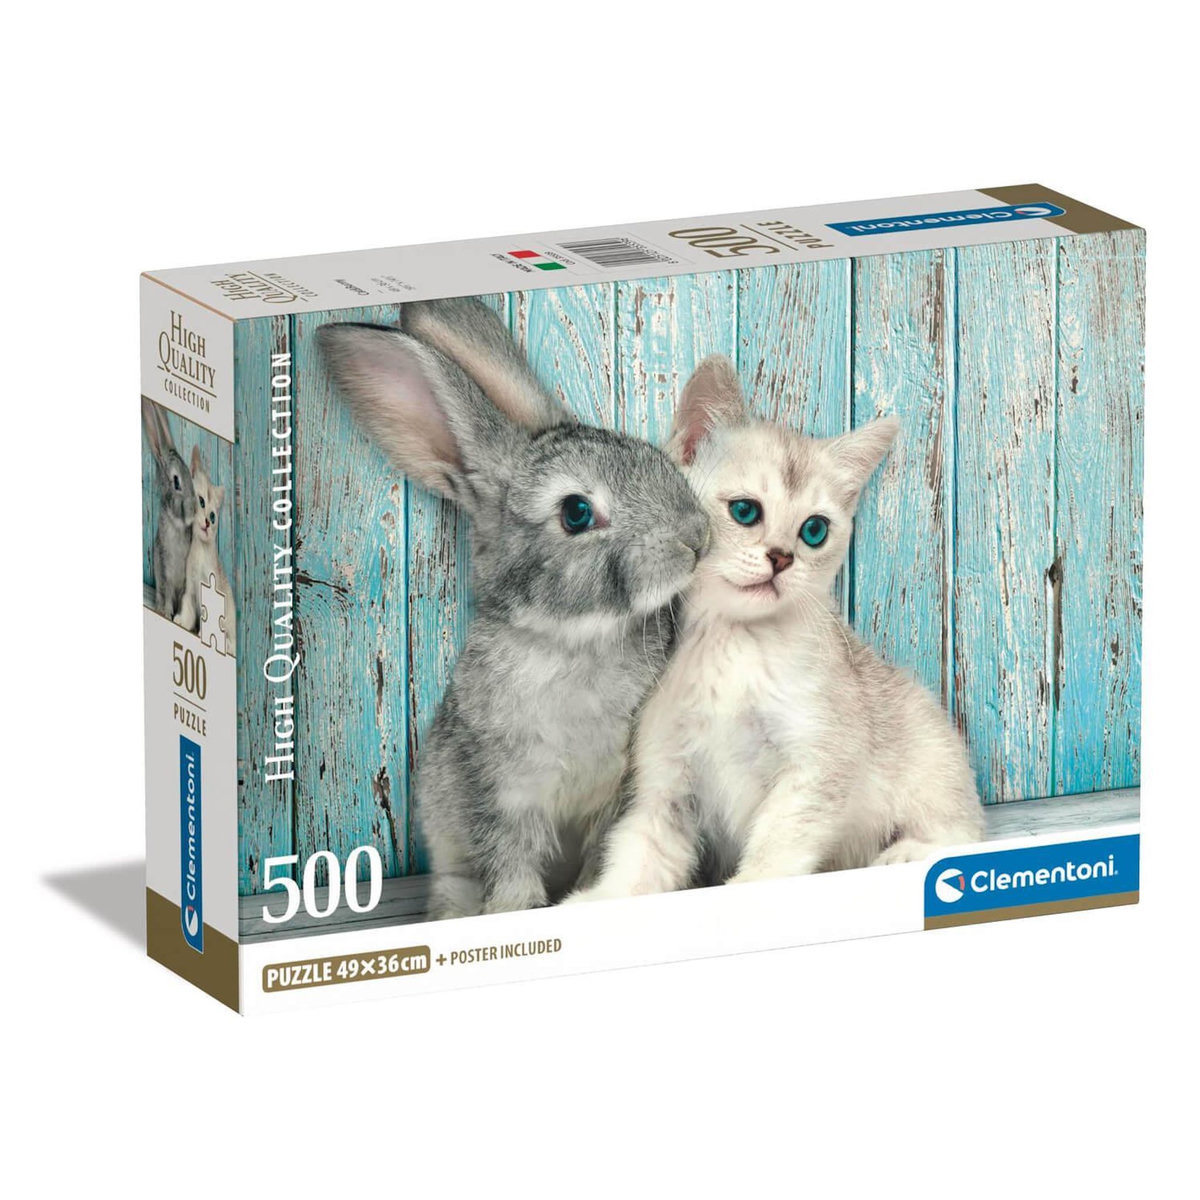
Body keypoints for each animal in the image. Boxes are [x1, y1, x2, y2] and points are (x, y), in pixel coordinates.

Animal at [318, 298, 709, 920]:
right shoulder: (498, 791)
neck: (571, 641)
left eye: (656, 459)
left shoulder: (615, 795)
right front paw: (512, 912)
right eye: (576, 513)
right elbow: (509, 863)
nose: (695, 538)